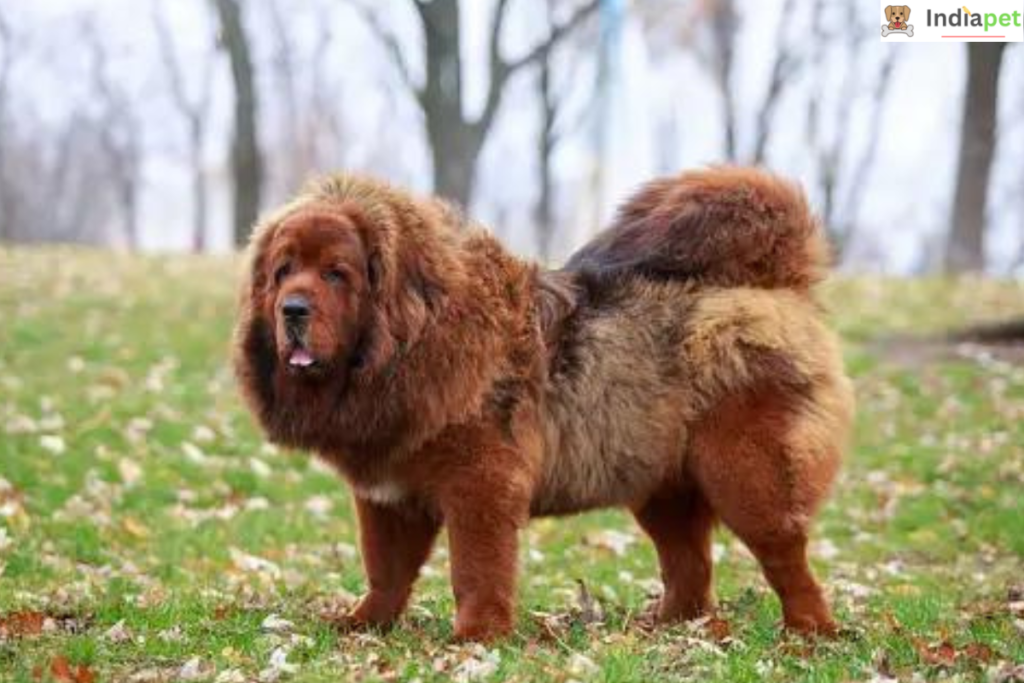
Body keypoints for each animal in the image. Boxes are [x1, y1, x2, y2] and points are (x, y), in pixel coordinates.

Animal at [234, 165, 856, 643]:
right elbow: (385, 569)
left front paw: (477, 637)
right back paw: (666, 628)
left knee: (785, 558)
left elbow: (476, 568)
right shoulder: (387, 495)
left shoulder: (480, 484)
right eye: (283, 271)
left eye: (336, 274)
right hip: (661, 485)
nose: (292, 309)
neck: (412, 344)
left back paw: (808, 634)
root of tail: (777, 284)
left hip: (746, 475)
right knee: (691, 567)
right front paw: (364, 625)